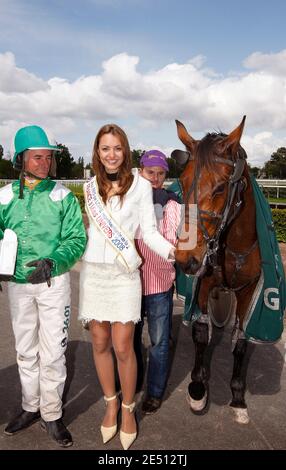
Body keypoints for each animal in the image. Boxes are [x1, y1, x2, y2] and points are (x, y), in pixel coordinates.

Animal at [172, 115, 262, 424]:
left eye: (221, 188)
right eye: (183, 182)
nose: (185, 258)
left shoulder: (249, 290)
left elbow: (241, 339)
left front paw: (238, 397)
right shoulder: (204, 281)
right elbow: (201, 333)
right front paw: (198, 387)